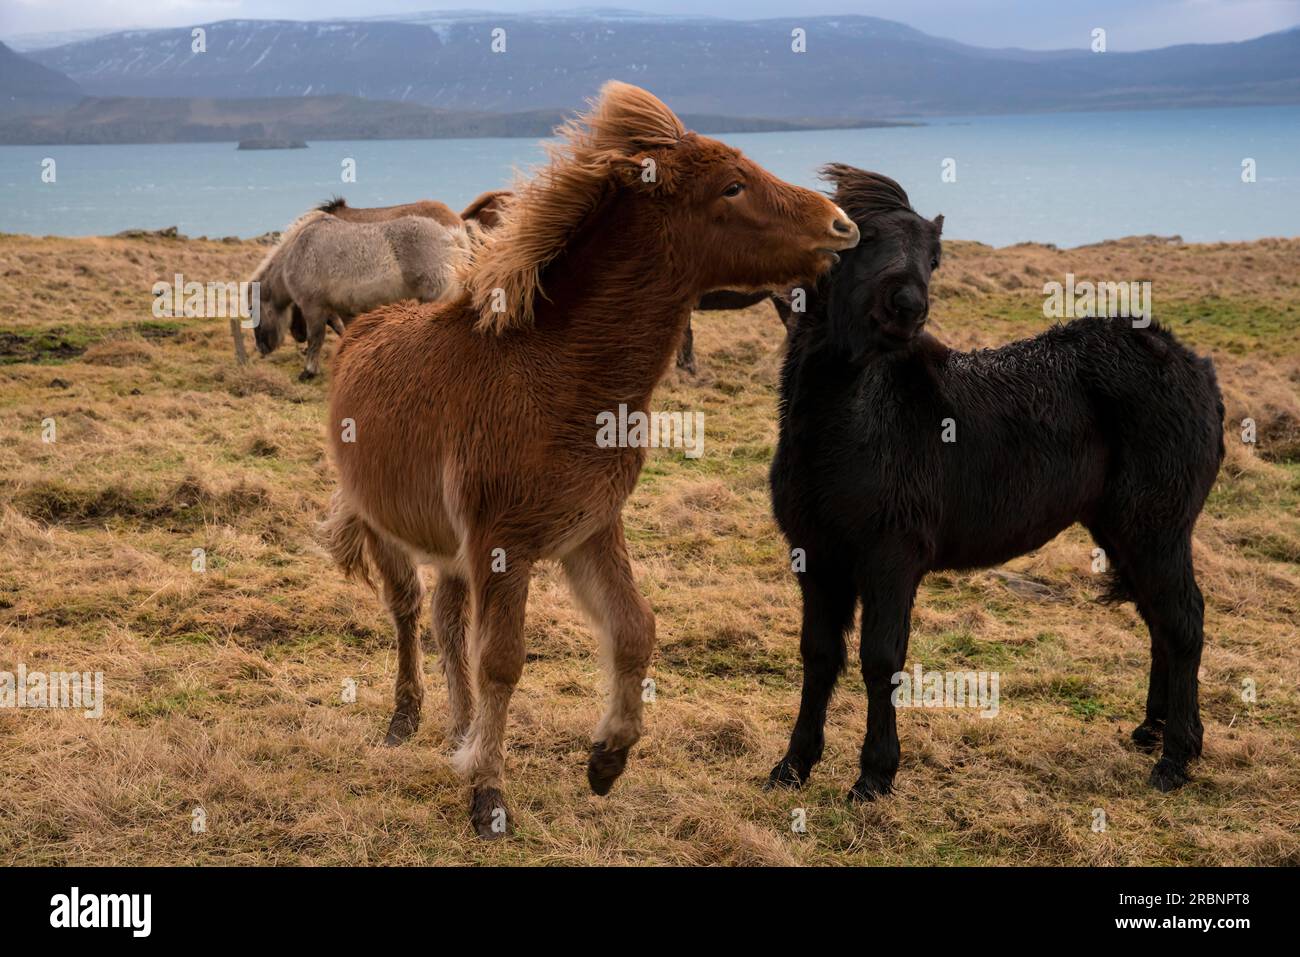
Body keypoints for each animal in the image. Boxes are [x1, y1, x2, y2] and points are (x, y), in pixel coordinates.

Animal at [320, 82, 859, 838]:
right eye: (731, 186)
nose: (842, 227)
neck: (560, 377)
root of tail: (362, 328)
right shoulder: (505, 547)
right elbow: (503, 662)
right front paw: (488, 793)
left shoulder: (591, 530)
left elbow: (634, 630)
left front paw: (607, 757)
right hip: (385, 529)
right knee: (406, 612)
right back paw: (407, 721)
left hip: (456, 551)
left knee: (448, 622)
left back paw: (459, 731)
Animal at [767, 164, 1224, 802]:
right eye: (861, 239)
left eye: (934, 257)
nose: (906, 307)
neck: (852, 424)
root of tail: (1191, 364)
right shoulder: (817, 558)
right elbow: (818, 656)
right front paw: (793, 765)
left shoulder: (890, 560)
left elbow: (881, 659)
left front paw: (875, 775)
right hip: (1123, 532)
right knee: (1160, 618)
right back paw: (1152, 731)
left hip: (1156, 529)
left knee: (1183, 621)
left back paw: (1176, 758)